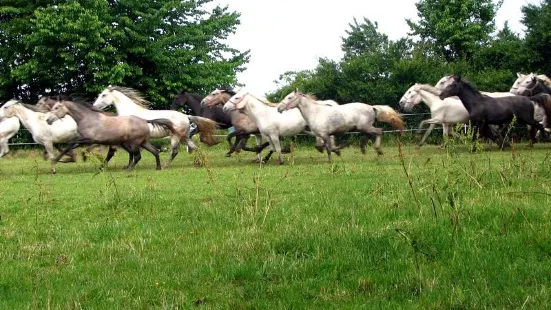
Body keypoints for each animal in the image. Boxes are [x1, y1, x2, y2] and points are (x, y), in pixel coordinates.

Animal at [276, 89, 406, 162]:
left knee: (379, 131)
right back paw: (363, 149)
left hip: (365, 127)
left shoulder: (324, 134)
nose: (279, 108)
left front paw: (335, 156)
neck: (315, 112)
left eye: (289, 97)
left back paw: (378, 150)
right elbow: (326, 147)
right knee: (370, 135)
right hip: (362, 128)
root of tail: (371, 107)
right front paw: (336, 152)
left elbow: (329, 148)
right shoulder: (322, 135)